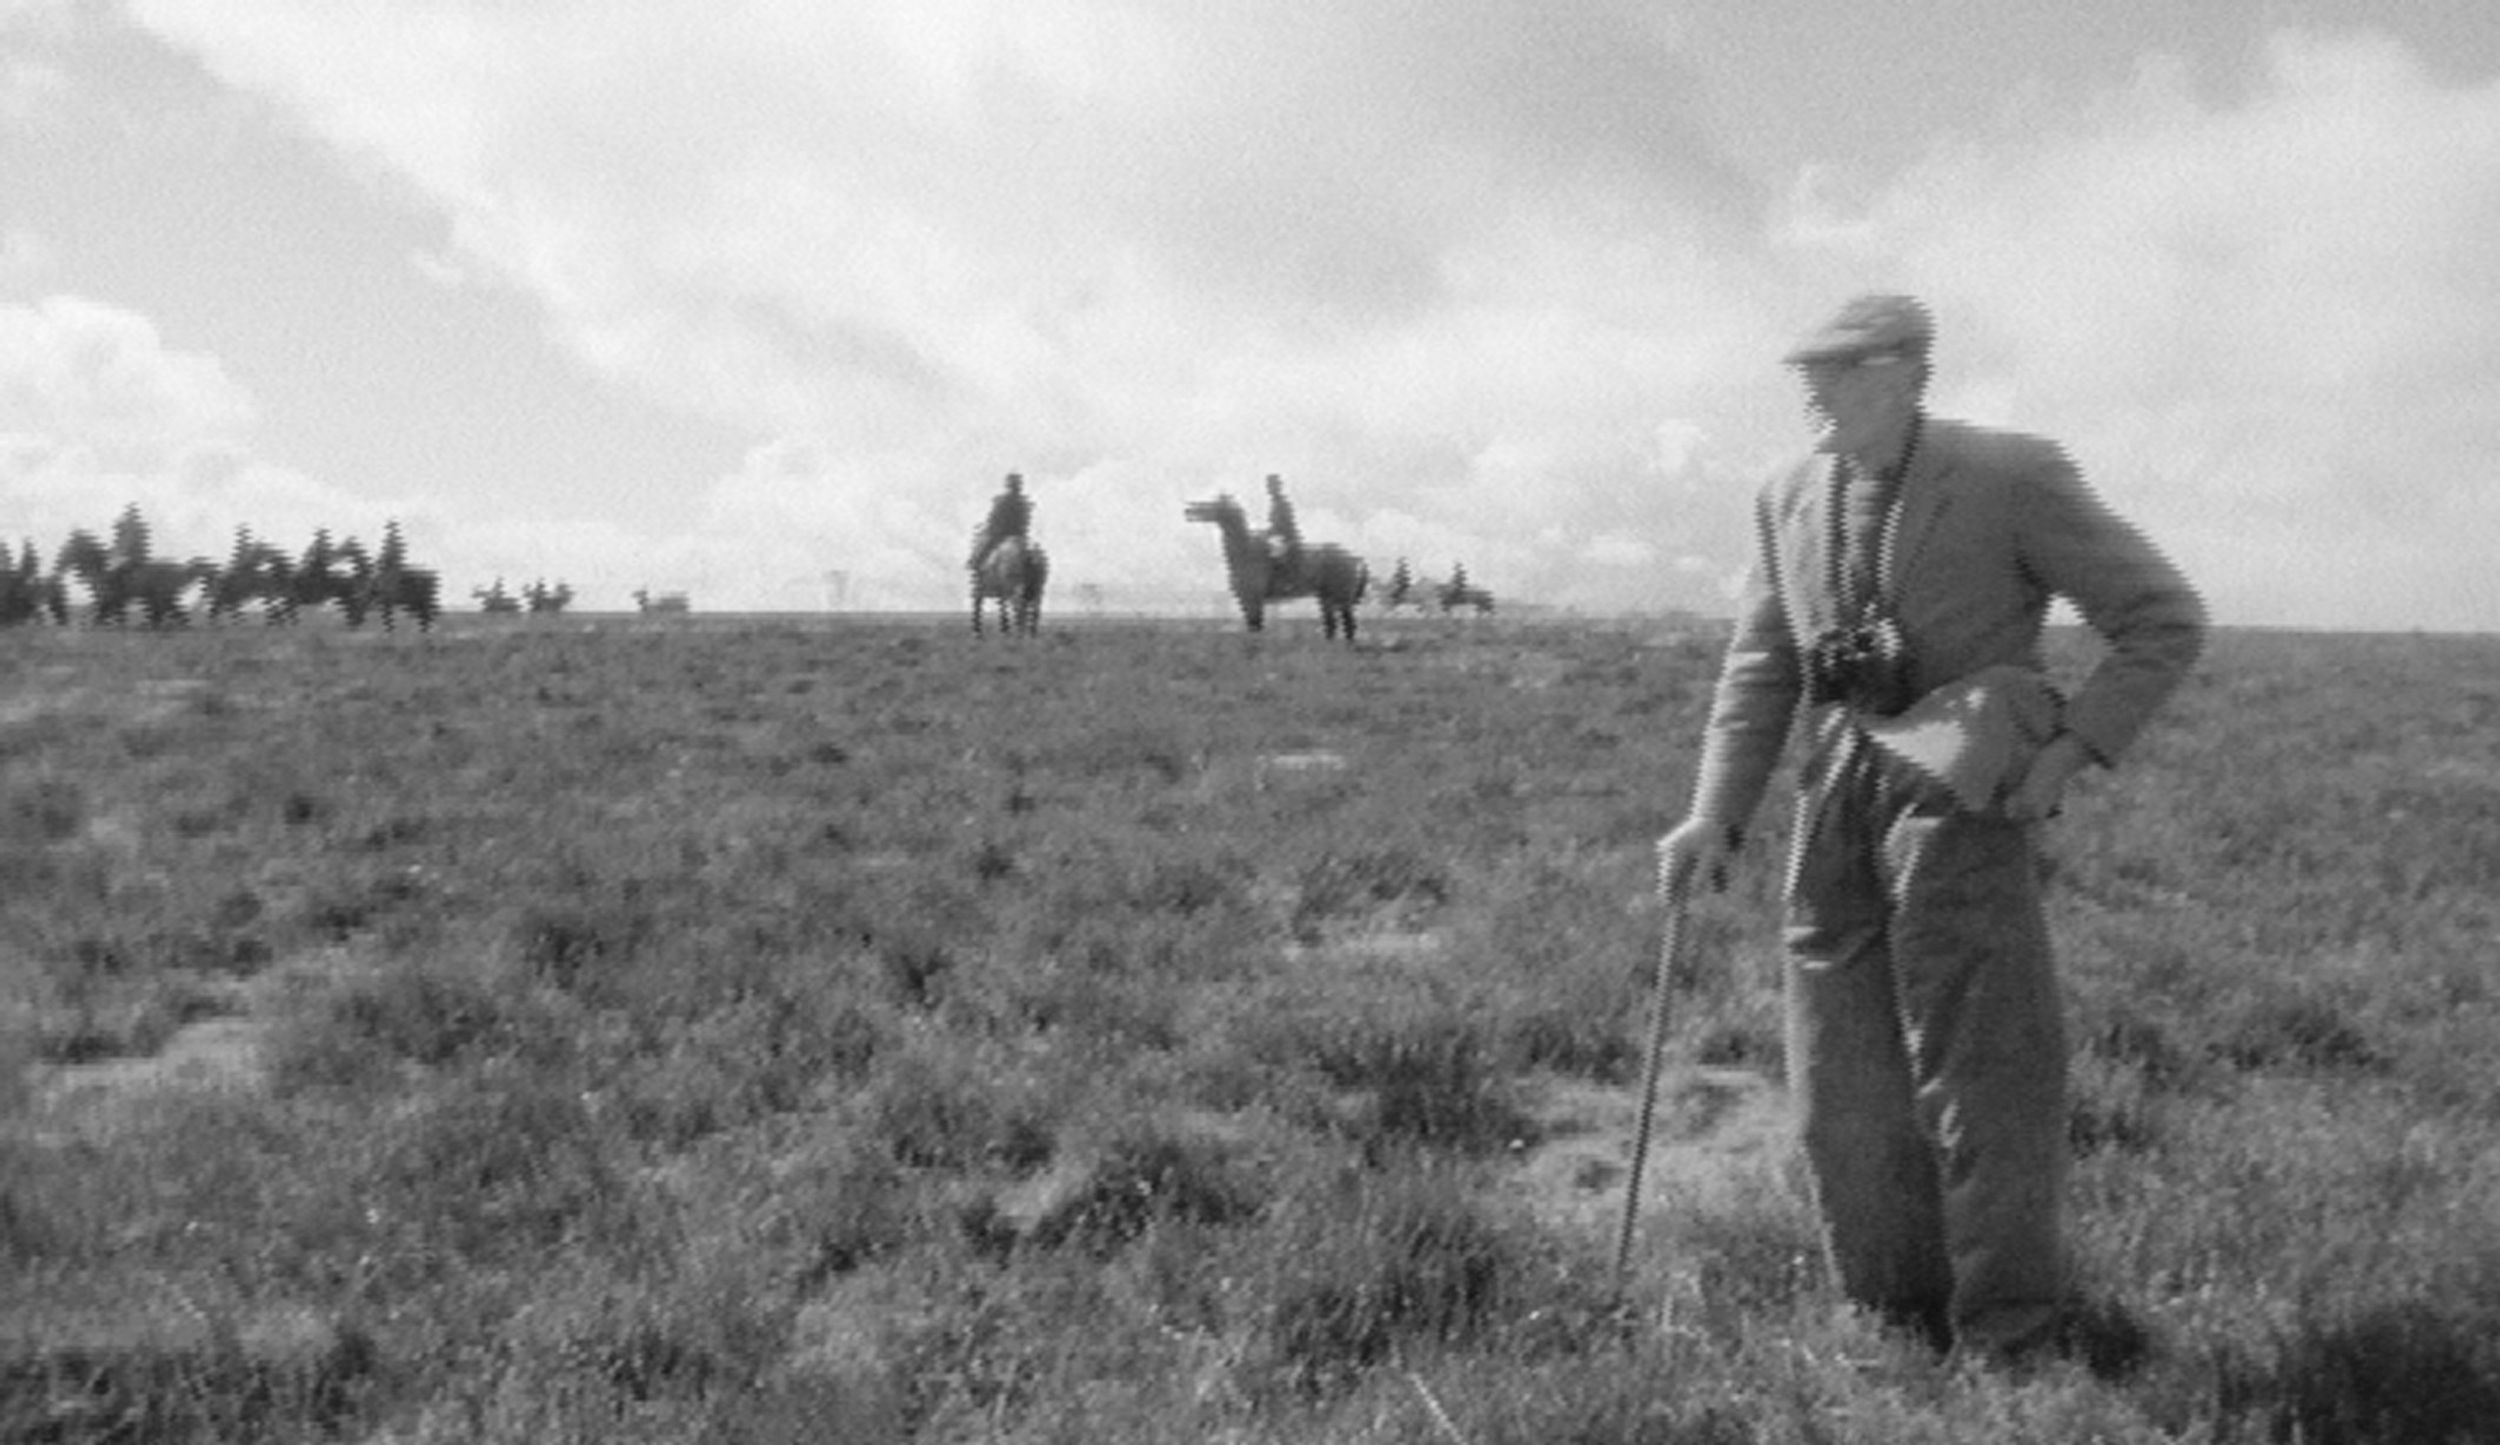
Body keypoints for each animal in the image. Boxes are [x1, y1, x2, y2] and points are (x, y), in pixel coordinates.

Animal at [1185, 492, 1370, 637]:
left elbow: (1256, 626)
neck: (1246, 552)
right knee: (1332, 626)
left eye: (1215, 503)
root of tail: (1353, 557)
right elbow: (1252, 626)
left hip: (1342, 597)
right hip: (1326, 597)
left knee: (1349, 625)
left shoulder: (1253, 599)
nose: (1188, 510)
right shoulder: (1244, 600)